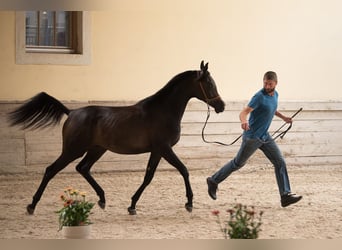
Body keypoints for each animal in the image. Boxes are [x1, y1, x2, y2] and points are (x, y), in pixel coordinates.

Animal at [8, 60, 226, 215]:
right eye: (208, 83)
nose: (221, 106)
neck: (162, 111)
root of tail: (71, 112)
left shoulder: (157, 151)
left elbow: (148, 177)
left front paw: (132, 205)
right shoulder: (164, 148)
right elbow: (183, 170)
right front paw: (189, 202)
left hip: (97, 149)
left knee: (83, 168)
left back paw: (102, 199)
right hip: (73, 150)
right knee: (51, 170)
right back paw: (32, 205)